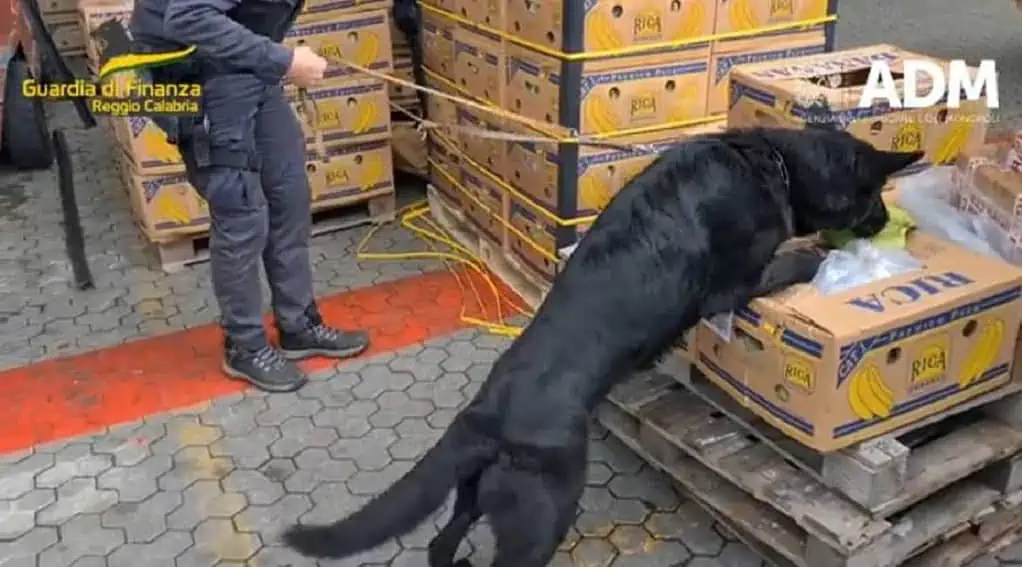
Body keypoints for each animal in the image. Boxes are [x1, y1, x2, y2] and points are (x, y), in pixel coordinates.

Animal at [283, 127, 924, 566]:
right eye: (875, 194)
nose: (890, 221)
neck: (774, 161)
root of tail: (486, 416)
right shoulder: (733, 285)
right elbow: (797, 258)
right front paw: (822, 252)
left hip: (476, 496)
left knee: (441, 545)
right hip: (544, 514)